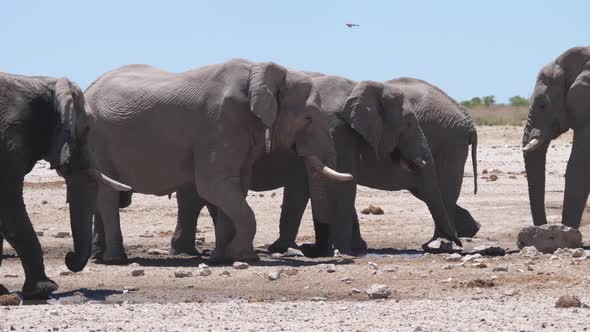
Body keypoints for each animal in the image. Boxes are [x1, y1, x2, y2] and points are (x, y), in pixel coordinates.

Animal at [0, 72, 131, 298]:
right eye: (88, 129)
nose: (68, 257)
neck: (38, 82)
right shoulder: (8, 140)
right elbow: (8, 204)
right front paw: (43, 290)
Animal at [82, 59, 352, 268]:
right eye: (308, 118)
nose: (310, 249)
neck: (260, 72)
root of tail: (88, 89)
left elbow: (234, 187)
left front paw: (223, 257)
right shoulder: (220, 123)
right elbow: (215, 185)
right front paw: (242, 255)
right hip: (98, 139)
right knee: (107, 194)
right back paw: (115, 260)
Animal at [168, 76, 468, 256]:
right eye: (408, 123)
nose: (457, 244)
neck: (358, 85)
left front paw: (332, 249)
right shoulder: (335, 131)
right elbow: (335, 186)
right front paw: (341, 250)